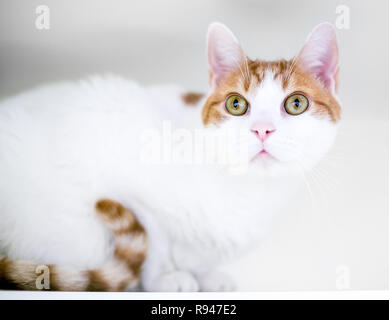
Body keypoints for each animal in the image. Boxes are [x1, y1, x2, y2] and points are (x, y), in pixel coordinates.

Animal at [0, 22, 340, 292]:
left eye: (296, 104)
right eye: (236, 104)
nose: (262, 130)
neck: (247, 190)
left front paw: (207, 276)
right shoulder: (129, 187)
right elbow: (154, 239)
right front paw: (164, 278)